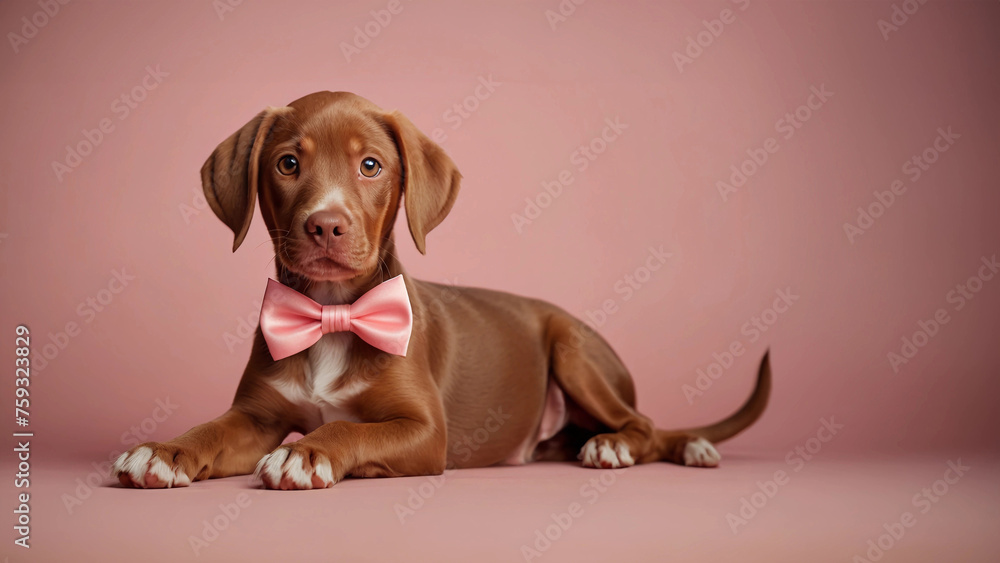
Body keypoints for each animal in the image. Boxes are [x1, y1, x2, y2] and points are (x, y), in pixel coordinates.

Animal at [113, 91, 768, 490]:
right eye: (287, 164)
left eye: (371, 166)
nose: (326, 225)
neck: (332, 312)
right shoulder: (255, 416)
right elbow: (210, 431)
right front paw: (162, 451)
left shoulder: (427, 432)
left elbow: (348, 428)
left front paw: (307, 453)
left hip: (574, 350)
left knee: (645, 426)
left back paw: (632, 447)